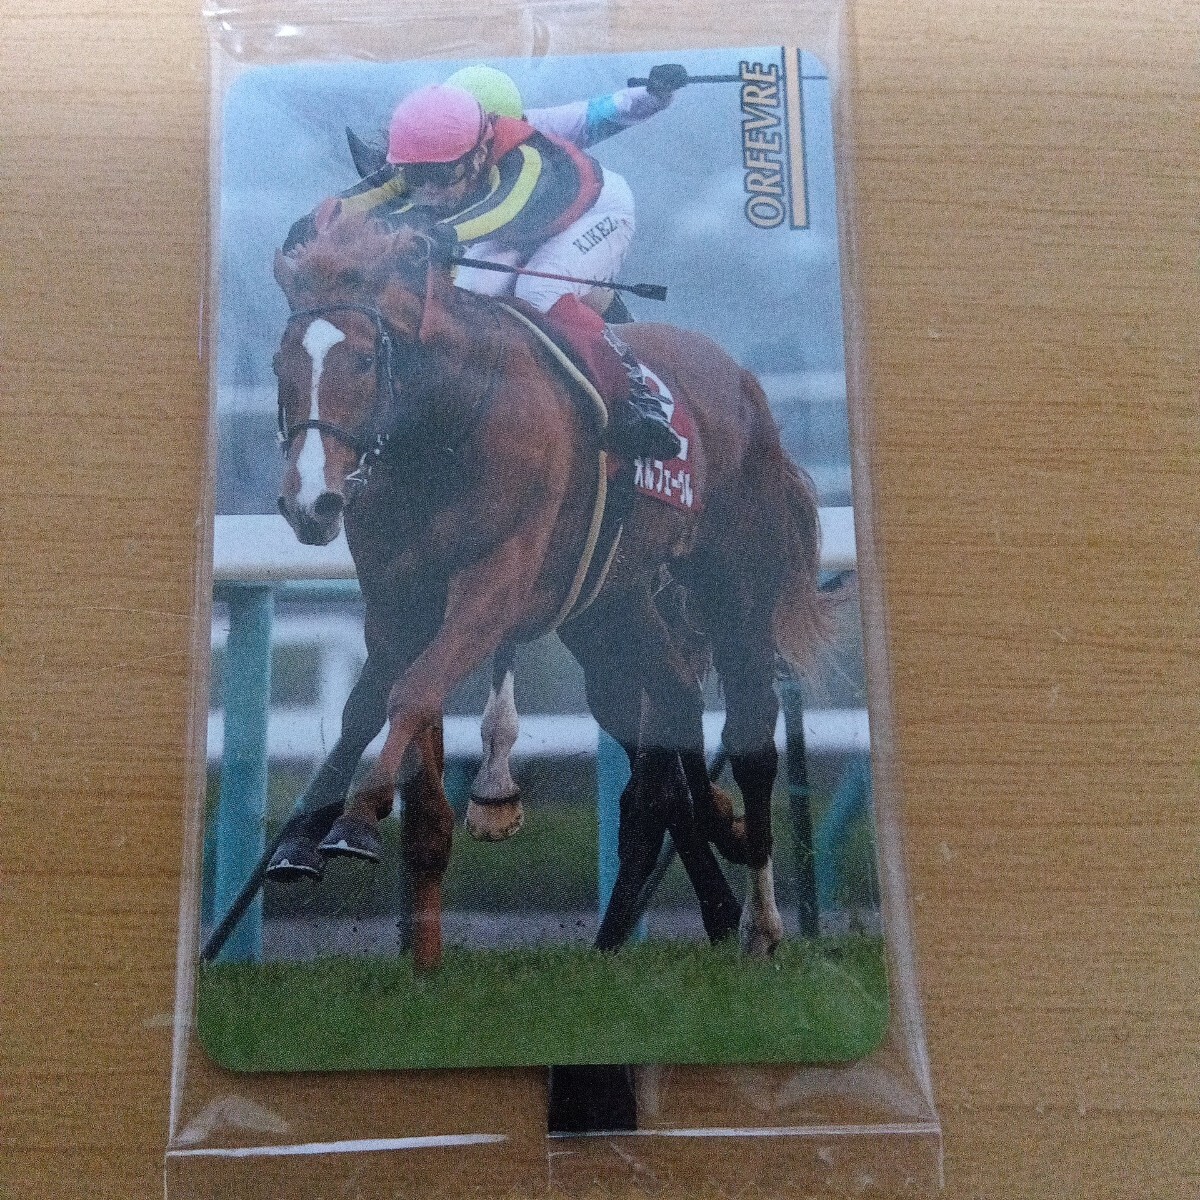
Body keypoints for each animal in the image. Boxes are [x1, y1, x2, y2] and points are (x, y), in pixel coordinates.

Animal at [269, 207, 827, 967]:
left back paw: (760, 924)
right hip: (613, 612)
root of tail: (744, 383)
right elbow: (363, 705)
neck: (451, 426)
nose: (311, 504)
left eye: (360, 360)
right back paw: (675, 906)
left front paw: (359, 820)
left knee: (750, 737)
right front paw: (301, 839)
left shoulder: (493, 585)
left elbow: (412, 689)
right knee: (671, 715)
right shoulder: (395, 597)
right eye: (281, 365)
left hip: (733, 584)